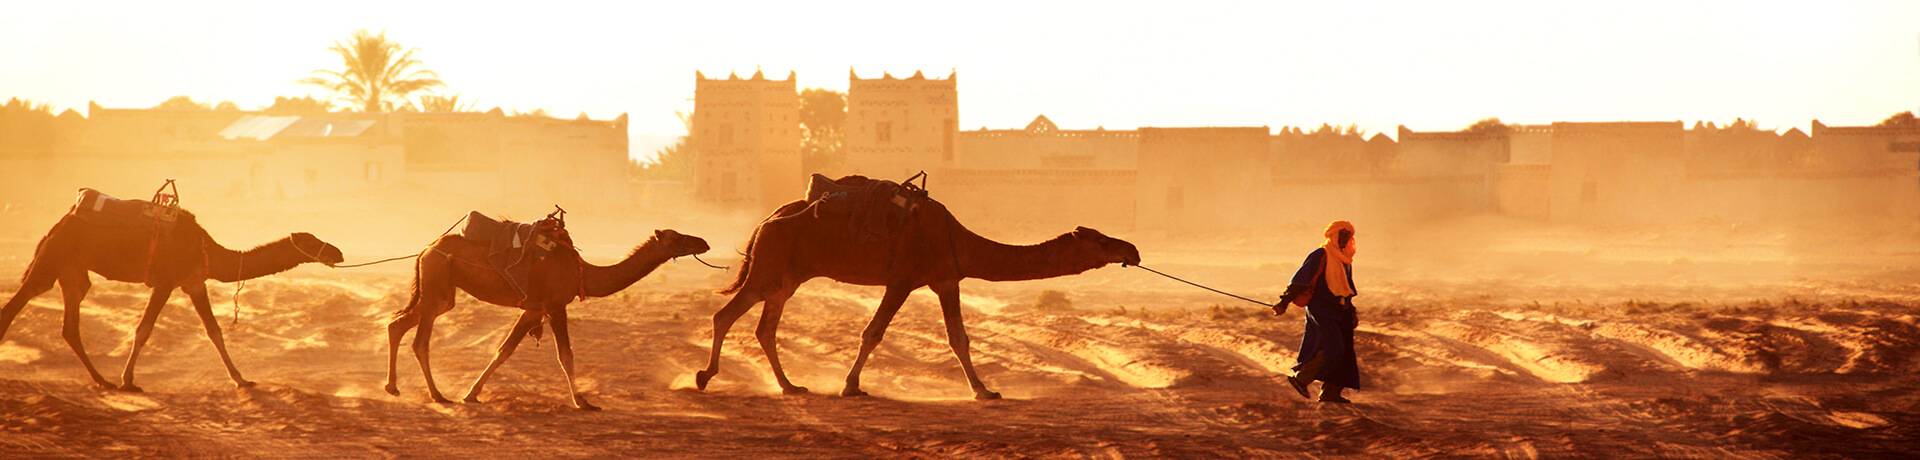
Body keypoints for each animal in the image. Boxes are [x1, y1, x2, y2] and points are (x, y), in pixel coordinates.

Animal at [0, 203, 341, 389]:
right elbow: (144, 329)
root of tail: (57, 225)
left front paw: (242, 380)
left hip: (72, 269)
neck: (207, 250)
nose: (336, 251)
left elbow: (214, 331)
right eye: (312, 242)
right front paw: (128, 381)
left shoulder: (193, 282)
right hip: (53, 258)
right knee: (18, 303)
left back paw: (102, 380)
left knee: (70, 323)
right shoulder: (166, 281)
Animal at [387, 226, 714, 410]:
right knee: (420, 341)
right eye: (677, 238)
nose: (704, 242)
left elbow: (504, 350)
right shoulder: (556, 305)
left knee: (397, 324)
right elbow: (565, 354)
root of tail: (426, 250)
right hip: (436, 286)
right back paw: (437, 395)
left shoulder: (534, 308)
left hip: (442, 293)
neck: (584, 273)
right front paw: (583, 402)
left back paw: (394, 387)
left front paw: (472, 394)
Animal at [695, 195, 1128, 400]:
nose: (1132, 249)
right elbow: (874, 333)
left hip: (787, 276)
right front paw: (851, 387)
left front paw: (984, 390)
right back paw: (704, 376)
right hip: (769, 267)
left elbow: (959, 337)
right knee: (725, 315)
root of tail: (764, 222)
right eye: (1102, 241)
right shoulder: (905, 279)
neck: (957, 239)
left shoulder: (945, 279)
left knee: (764, 328)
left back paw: (790, 386)